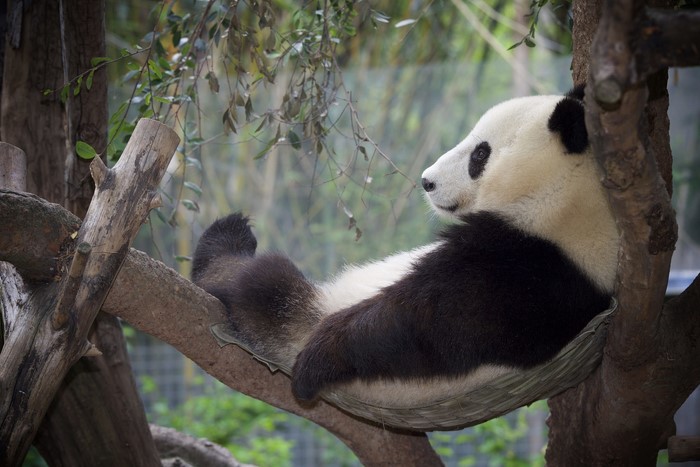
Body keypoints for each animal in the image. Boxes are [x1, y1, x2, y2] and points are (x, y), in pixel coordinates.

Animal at [192, 87, 619, 407]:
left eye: (480, 154)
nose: (427, 181)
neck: (563, 199)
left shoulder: (530, 270)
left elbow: (424, 324)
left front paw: (318, 360)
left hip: (305, 312)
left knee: (264, 285)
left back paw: (226, 248)